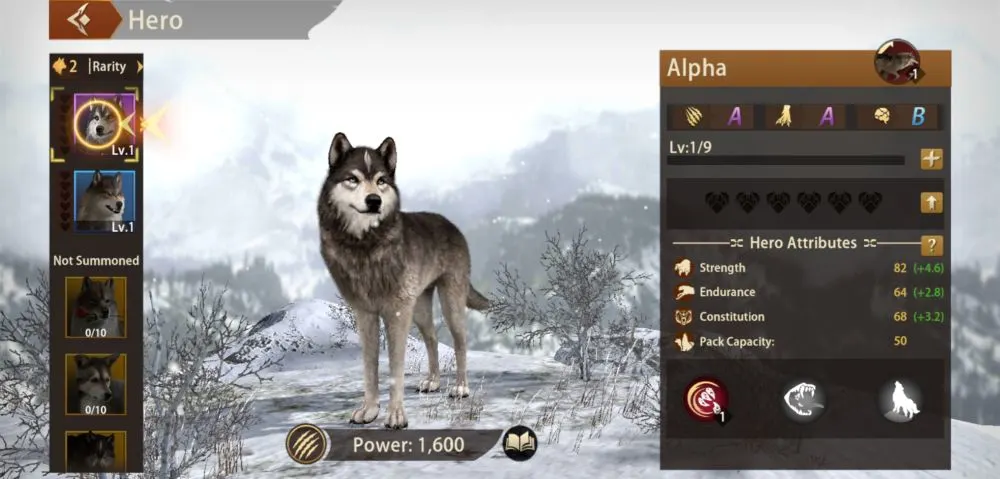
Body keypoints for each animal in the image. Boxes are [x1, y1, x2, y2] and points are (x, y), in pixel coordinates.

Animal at [317, 132, 490, 429]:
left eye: (381, 180)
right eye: (352, 179)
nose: (374, 200)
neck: (365, 247)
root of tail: (452, 225)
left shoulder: (397, 314)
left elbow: (395, 371)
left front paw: (396, 416)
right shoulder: (365, 314)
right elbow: (370, 368)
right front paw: (369, 410)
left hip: (449, 304)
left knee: (460, 342)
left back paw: (460, 388)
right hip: (419, 309)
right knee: (432, 338)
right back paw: (433, 382)